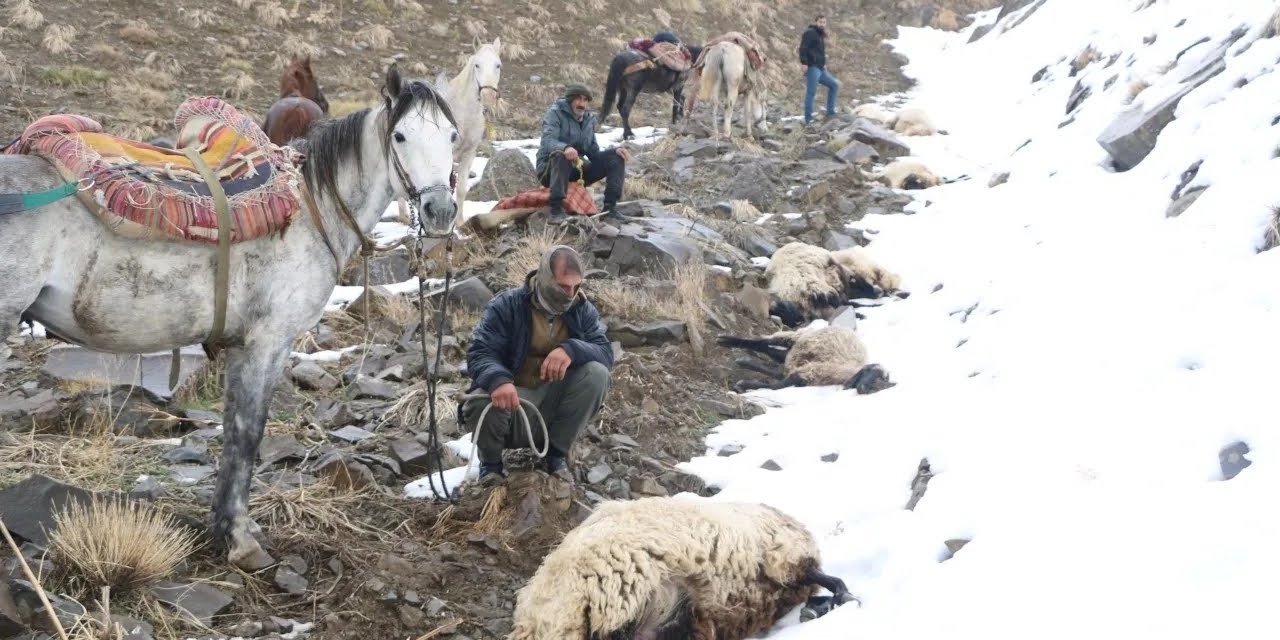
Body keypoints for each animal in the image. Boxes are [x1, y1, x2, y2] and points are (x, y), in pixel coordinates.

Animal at [0, 64, 460, 568]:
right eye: (400, 135)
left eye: (453, 135)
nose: (440, 211)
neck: (309, 210)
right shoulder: (268, 343)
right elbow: (247, 433)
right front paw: (240, 540)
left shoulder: (242, 346)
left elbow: (234, 432)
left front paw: (227, 528)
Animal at [716, 325, 896, 394]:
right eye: (874, 374)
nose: (862, 389)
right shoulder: (809, 370)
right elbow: (778, 384)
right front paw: (743, 383)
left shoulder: (805, 373)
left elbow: (778, 383)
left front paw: (744, 380)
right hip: (799, 338)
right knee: (765, 341)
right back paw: (725, 340)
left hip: (796, 354)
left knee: (772, 352)